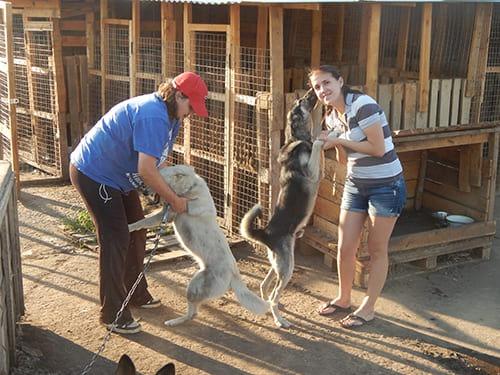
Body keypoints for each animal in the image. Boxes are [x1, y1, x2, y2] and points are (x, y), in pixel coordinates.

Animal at [129, 164, 270, 326]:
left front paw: (128, 226)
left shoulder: (173, 212)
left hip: (193, 288)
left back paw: (173, 321)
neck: (188, 190)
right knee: (194, 313)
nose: (143, 191)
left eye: (157, 179)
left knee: (192, 314)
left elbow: (144, 221)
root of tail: (234, 274)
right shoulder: (166, 213)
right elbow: (144, 220)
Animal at [241, 89, 326, 328]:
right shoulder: (314, 173)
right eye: (302, 101)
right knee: (273, 296)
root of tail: (265, 233)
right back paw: (280, 320)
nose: (312, 89)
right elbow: (317, 144)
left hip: (281, 264)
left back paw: (268, 309)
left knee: (264, 287)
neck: (297, 138)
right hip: (287, 268)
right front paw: (326, 134)